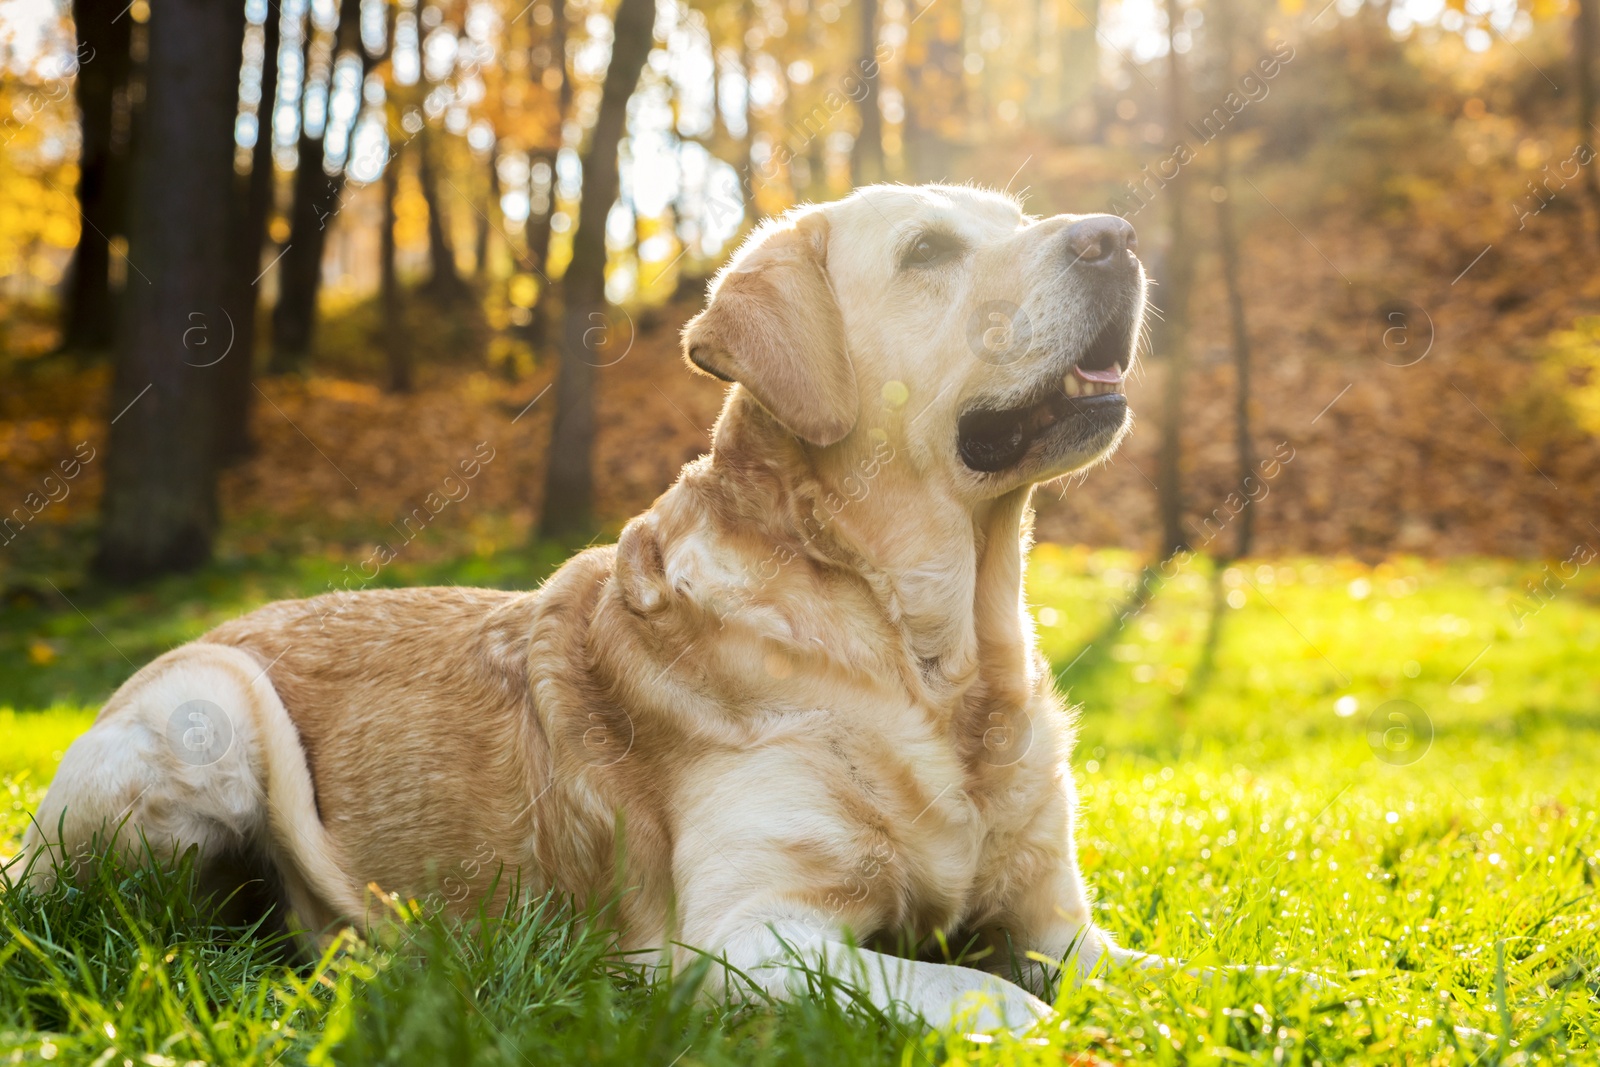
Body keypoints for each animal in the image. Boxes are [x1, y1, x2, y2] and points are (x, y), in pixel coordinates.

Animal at [15, 183, 1164, 1036]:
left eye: (1017, 215)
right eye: (928, 249)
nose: (1118, 234)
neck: (931, 651)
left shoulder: (1059, 922)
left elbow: (1163, 968)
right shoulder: (746, 940)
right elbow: (988, 993)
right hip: (211, 705)